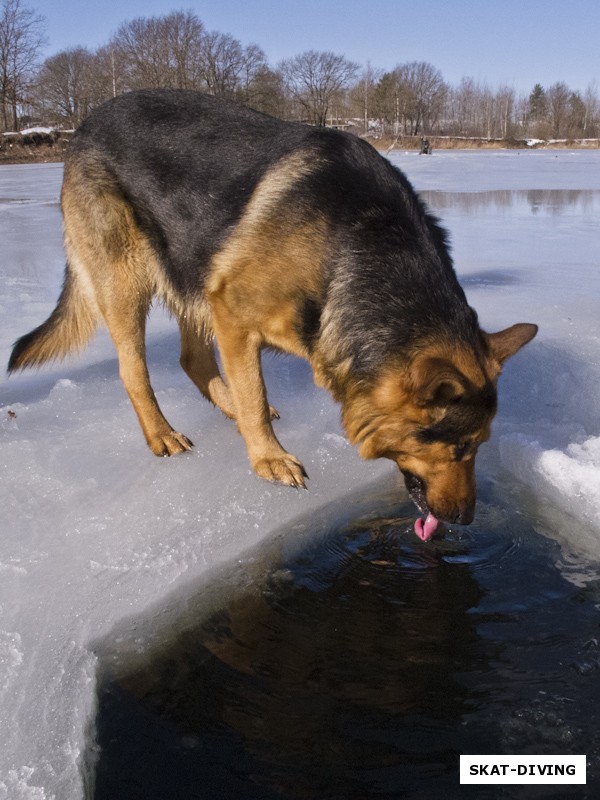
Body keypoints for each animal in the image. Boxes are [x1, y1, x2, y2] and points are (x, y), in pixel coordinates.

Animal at [5, 90, 540, 540]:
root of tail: (86, 122)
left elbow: (247, 389)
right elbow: (256, 396)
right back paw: (162, 433)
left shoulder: (229, 308)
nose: (466, 520)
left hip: (191, 266)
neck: (359, 245)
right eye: (460, 448)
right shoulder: (232, 312)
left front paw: (248, 423)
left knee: (192, 359)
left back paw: (225, 407)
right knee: (133, 368)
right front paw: (268, 457)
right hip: (129, 280)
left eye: (480, 444)